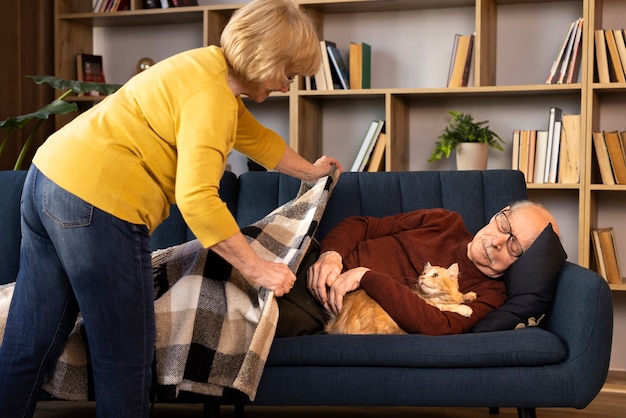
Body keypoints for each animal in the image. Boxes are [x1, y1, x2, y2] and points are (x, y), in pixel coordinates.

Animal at [324, 262, 476, 334]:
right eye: (424, 273)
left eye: (435, 275)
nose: (421, 278)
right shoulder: (429, 304)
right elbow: (448, 306)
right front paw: (465, 308)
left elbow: (460, 296)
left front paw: (469, 295)